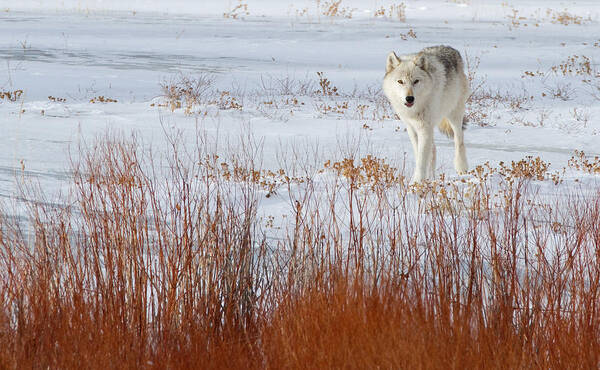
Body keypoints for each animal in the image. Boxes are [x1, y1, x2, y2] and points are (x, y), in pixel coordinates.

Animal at [382, 45, 472, 184]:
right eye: (400, 82)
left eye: (416, 81)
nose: (409, 98)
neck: (415, 109)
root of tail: (451, 49)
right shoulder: (412, 128)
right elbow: (420, 154)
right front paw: (422, 180)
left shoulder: (425, 128)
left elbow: (422, 159)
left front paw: (417, 182)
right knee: (433, 149)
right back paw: (431, 177)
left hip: (454, 115)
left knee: (459, 140)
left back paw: (461, 168)